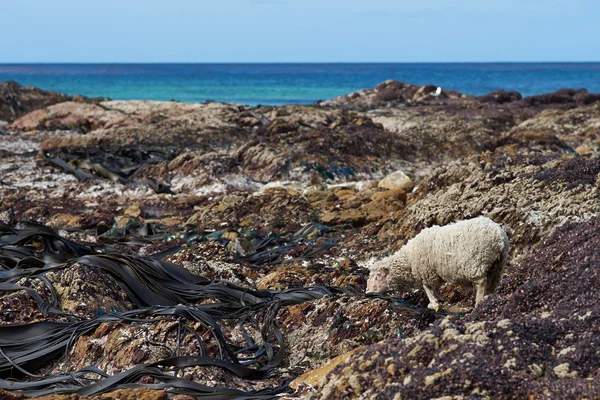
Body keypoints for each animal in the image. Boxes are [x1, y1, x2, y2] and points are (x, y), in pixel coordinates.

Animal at [366, 217, 510, 310]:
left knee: (481, 283)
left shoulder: (427, 272)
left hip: (476, 263)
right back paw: (489, 297)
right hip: (498, 264)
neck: (409, 260)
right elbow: (433, 289)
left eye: (378, 276)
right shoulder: (432, 274)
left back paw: (478, 302)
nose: (367, 292)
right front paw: (437, 300)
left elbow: (427, 288)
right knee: (493, 282)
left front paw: (434, 303)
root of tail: (498, 234)